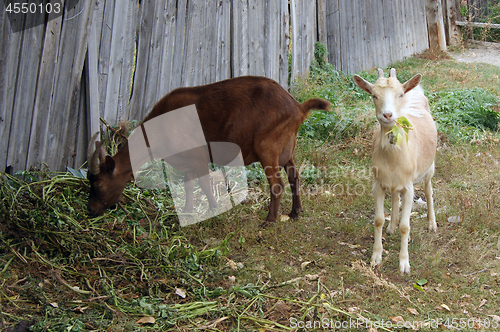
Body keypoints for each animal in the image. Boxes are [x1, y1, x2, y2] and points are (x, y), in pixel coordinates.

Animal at [87, 75, 328, 226]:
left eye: (98, 184)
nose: (91, 209)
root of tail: (297, 107)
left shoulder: (198, 155)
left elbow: (203, 183)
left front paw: (213, 208)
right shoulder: (186, 161)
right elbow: (189, 184)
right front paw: (188, 211)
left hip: (267, 147)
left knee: (277, 184)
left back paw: (269, 221)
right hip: (286, 148)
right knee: (294, 176)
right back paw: (295, 212)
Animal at [352, 67, 438, 272]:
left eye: (399, 94)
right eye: (374, 95)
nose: (388, 115)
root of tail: (415, 91)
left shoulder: (409, 187)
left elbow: (406, 227)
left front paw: (404, 264)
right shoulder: (378, 183)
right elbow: (378, 220)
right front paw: (376, 257)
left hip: (430, 166)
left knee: (428, 189)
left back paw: (432, 224)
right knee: (395, 195)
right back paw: (392, 226)